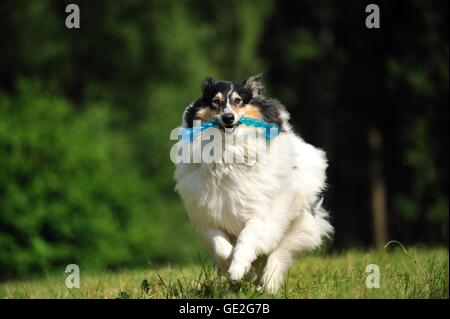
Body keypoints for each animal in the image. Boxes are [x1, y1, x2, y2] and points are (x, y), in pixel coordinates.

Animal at [174, 74, 332, 292]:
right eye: (215, 101)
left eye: (239, 101)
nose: (228, 118)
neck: (228, 155)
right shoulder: (208, 218)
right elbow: (221, 247)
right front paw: (241, 271)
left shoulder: (261, 214)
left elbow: (246, 239)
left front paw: (238, 268)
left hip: (297, 224)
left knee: (277, 255)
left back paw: (268, 287)